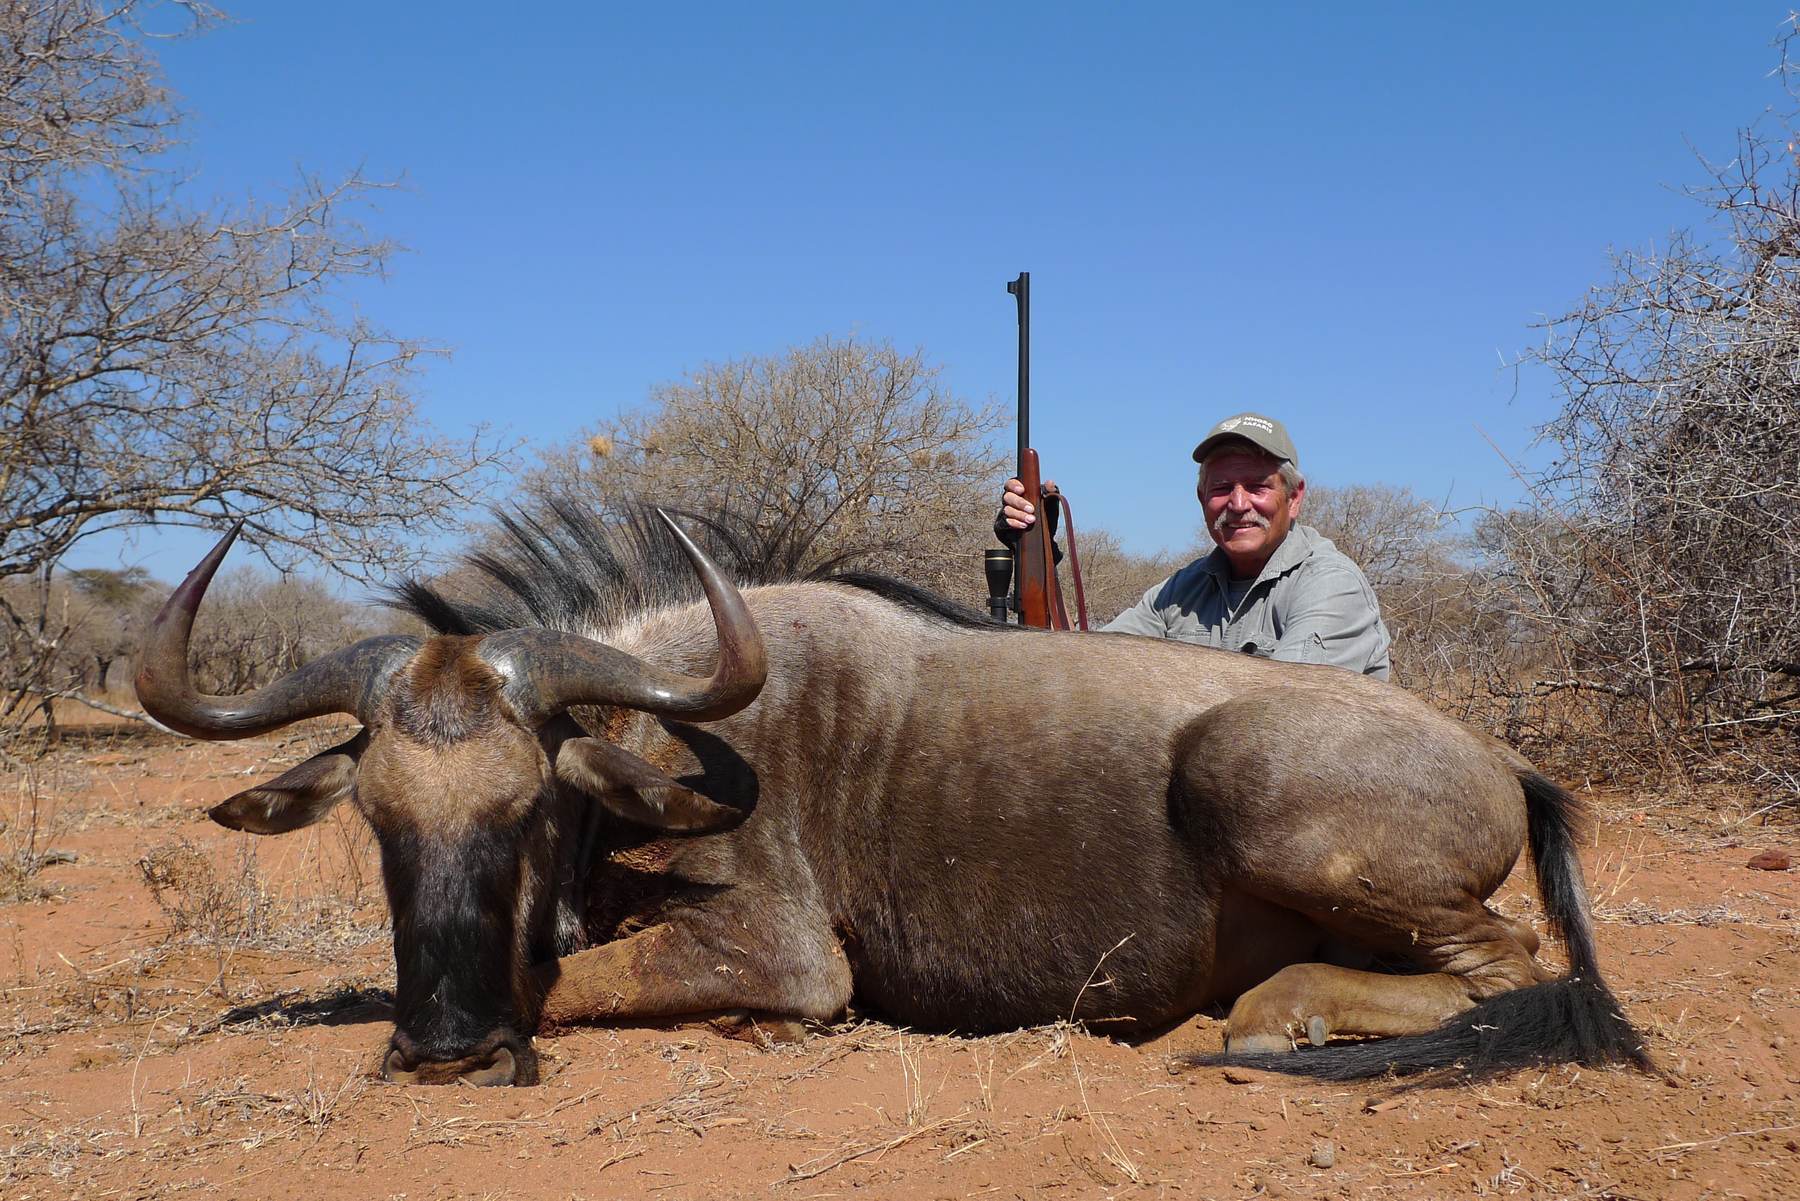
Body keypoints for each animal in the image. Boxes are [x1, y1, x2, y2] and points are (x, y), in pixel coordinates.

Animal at [134, 505, 1649, 1088]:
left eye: (530, 807)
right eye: (380, 820)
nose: (442, 1047)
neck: (668, 739)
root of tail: (1504, 763)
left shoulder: (790, 953)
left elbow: (563, 981)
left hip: (1257, 798)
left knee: (1512, 961)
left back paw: (1278, 1015)